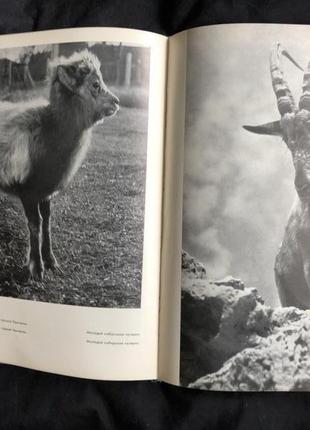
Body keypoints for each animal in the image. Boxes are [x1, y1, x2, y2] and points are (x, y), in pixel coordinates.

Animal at [0, 49, 120, 282]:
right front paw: (36, 268)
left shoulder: (45, 192)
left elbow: (47, 221)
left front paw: (51, 261)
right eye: (95, 84)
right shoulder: (28, 190)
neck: (50, 127)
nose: (117, 102)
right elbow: (35, 224)